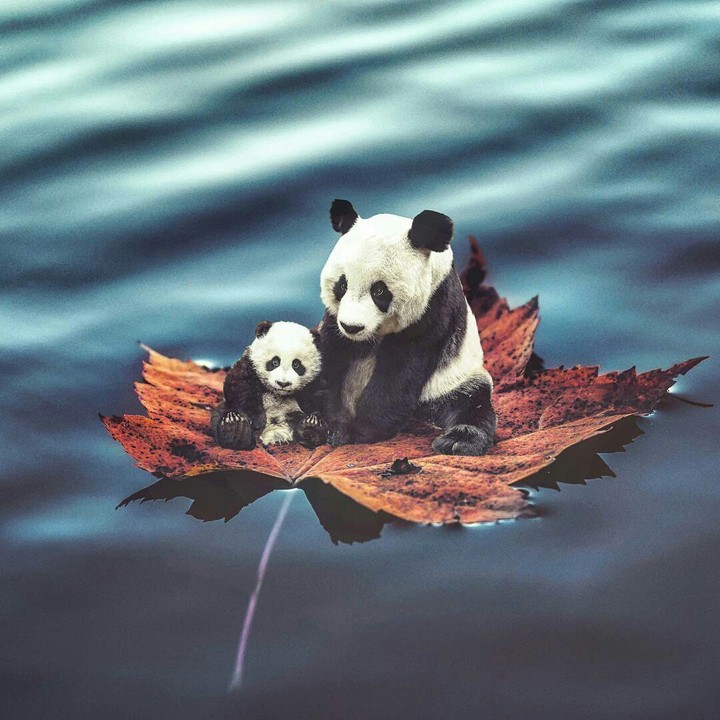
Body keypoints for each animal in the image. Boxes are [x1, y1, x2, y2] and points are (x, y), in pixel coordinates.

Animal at [211, 321, 327, 450]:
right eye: (275, 362)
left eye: (296, 364)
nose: (283, 383)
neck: (277, 393)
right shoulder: (250, 364)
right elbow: (241, 386)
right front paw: (256, 420)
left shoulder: (315, 379)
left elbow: (319, 396)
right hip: (228, 408)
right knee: (221, 413)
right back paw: (235, 429)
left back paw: (311, 427)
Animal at [316, 198, 496, 456]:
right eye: (342, 285)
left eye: (379, 290)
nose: (352, 327)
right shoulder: (334, 320)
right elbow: (331, 359)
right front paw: (329, 425)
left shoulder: (433, 310)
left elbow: (400, 372)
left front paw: (359, 431)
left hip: (451, 382)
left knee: (471, 404)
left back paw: (457, 441)